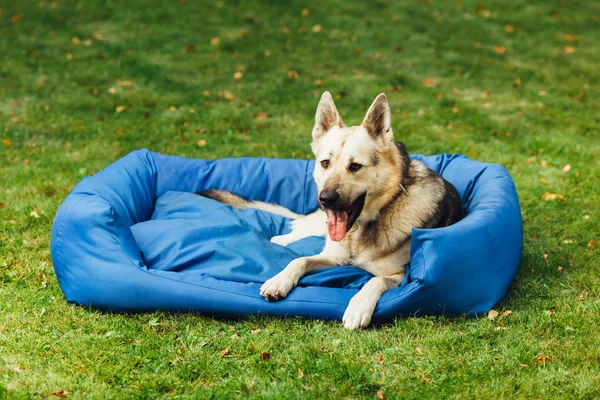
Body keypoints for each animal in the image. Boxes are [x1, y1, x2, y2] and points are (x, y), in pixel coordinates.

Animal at [199, 92, 462, 330]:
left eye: (355, 166)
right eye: (325, 163)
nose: (325, 199)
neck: (359, 230)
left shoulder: (397, 276)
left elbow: (374, 281)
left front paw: (358, 306)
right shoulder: (332, 257)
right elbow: (300, 259)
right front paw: (279, 280)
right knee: (287, 236)